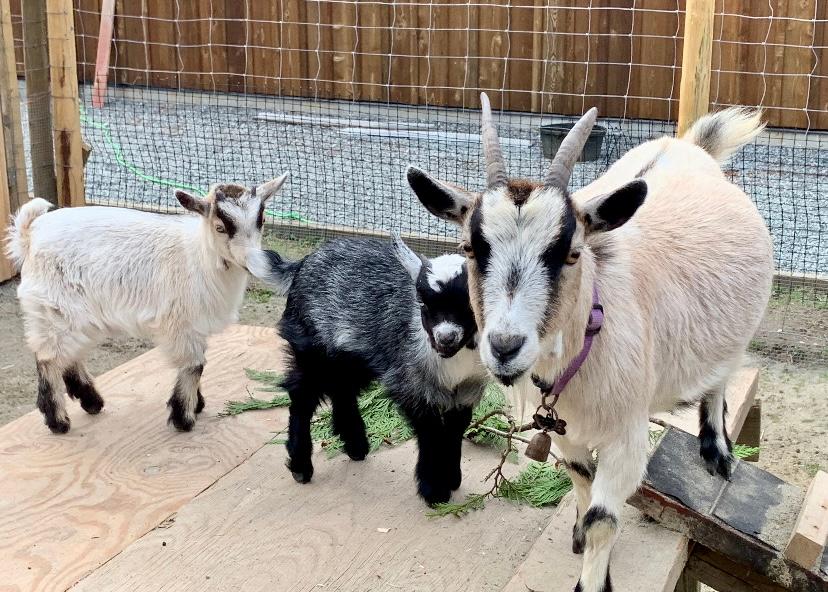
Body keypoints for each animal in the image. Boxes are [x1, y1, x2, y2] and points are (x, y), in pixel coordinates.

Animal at [6, 176, 287, 434]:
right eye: (220, 227)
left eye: (261, 221)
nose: (253, 262)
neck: (198, 256)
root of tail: (29, 234)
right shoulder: (181, 323)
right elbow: (195, 365)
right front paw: (184, 418)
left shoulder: (195, 325)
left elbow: (198, 363)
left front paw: (196, 404)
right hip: (54, 307)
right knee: (48, 357)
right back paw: (58, 421)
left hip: (73, 313)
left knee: (69, 353)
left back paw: (91, 401)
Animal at [256, 235, 488, 505]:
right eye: (422, 302)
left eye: (470, 304)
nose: (445, 338)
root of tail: (302, 263)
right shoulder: (410, 380)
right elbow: (430, 430)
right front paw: (434, 491)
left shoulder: (467, 387)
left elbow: (455, 427)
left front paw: (451, 478)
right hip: (310, 346)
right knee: (303, 397)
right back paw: (301, 466)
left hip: (354, 353)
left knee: (341, 388)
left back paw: (355, 445)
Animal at [406, 94, 773, 592]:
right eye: (470, 249)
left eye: (571, 253)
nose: (504, 347)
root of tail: (692, 147)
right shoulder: (566, 430)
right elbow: (581, 479)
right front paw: (577, 535)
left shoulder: (626, 437)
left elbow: (604, 519)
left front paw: (593, 577)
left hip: (737, 333)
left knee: (722, 378)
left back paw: (717, 452)